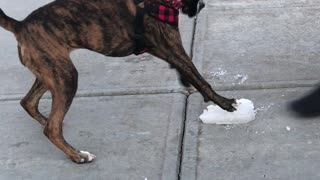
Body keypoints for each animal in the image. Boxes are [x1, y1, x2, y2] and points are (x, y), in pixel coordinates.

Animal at [0, 0, 235, 163]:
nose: (202, 5)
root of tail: (20, 25)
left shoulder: (163, 49)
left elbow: (189, 74)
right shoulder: (173, 47)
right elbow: (200, 79)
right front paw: (223, 103)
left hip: (50, 72)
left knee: (28, 103)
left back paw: (46, 120)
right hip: (65, 75)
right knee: (51, 129)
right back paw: (77, 155)